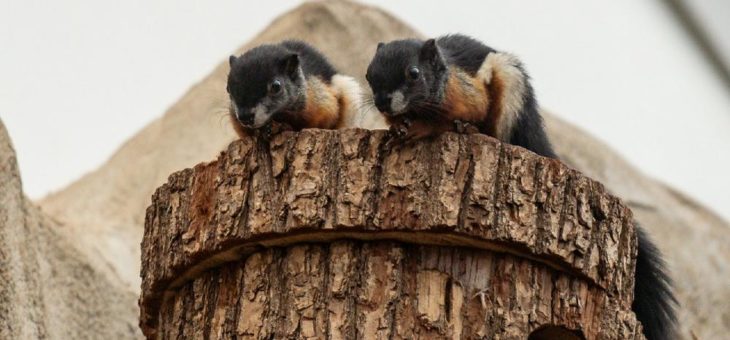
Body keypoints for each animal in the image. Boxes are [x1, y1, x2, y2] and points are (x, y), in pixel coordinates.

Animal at [364, 33, 676, 340]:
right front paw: (396, 131)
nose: (382, 102)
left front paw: (425, 128)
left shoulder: (468, 93)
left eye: (414, 73)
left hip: (510, 92)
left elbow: (447, 120)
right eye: (369, 73)